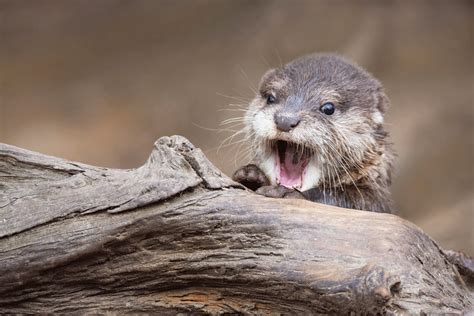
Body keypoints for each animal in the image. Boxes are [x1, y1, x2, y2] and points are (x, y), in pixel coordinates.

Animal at [231, 53, 394, 214]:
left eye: (328, 108)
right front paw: (251, 175)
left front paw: (288, 193)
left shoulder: (375, 199)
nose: (285, 120)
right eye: (271, 98)